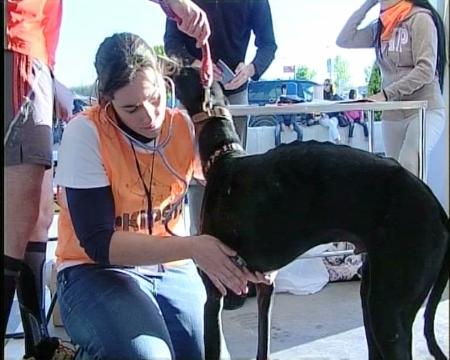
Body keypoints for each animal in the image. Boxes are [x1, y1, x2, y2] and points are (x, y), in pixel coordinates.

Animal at [173, 67, 450, 360]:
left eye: (184, 70)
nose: (167, 64)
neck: (224, 158)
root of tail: (436, 206)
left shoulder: (214, 295)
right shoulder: (266, 287)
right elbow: (262, 347)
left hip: (388, 313)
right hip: (373, 295)